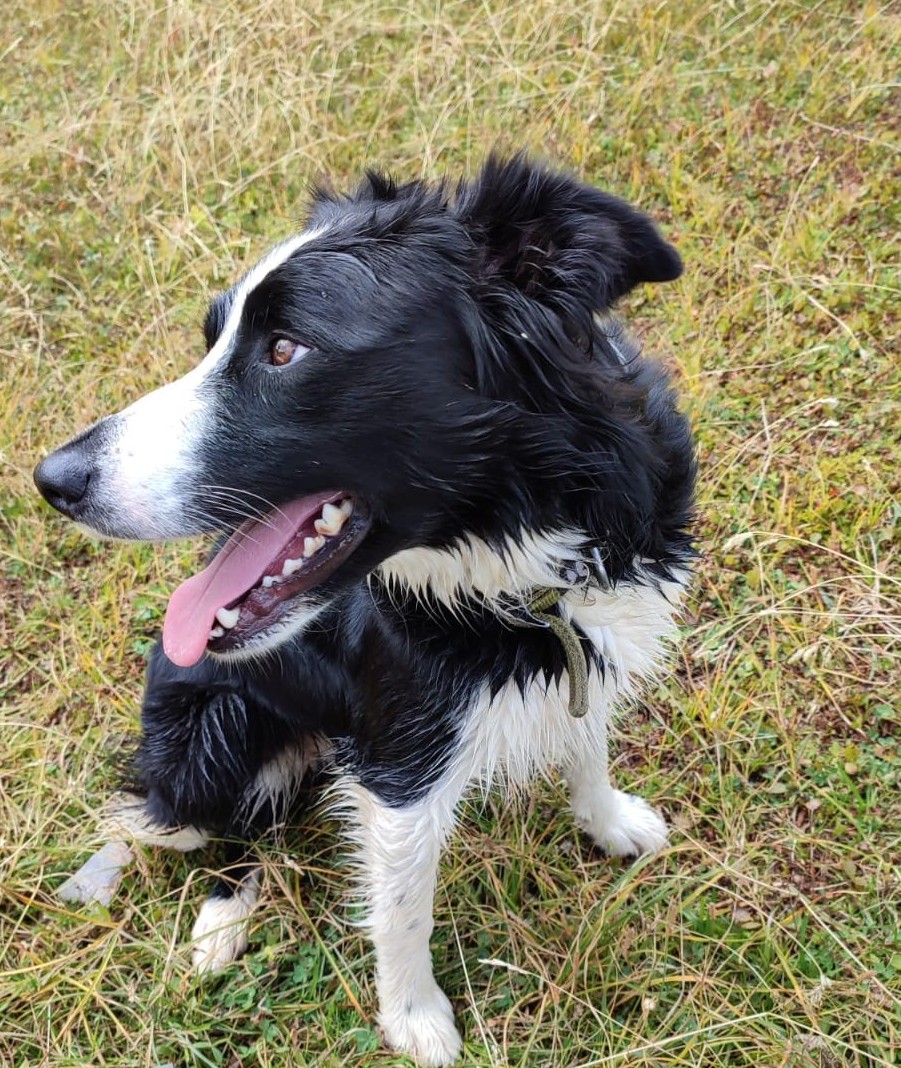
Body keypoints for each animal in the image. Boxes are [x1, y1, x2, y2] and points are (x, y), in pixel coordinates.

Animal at [34, 154, 695, 1066]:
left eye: (284, 349)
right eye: (213, 341)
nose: (51, 481)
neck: (521, 565)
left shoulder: (589, 641)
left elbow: (585, 740)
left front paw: (609, 822)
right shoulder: (398, 762)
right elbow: (402, 909)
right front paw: (415, 1019)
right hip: (207, 742)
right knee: (231, 830)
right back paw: (220, 923)